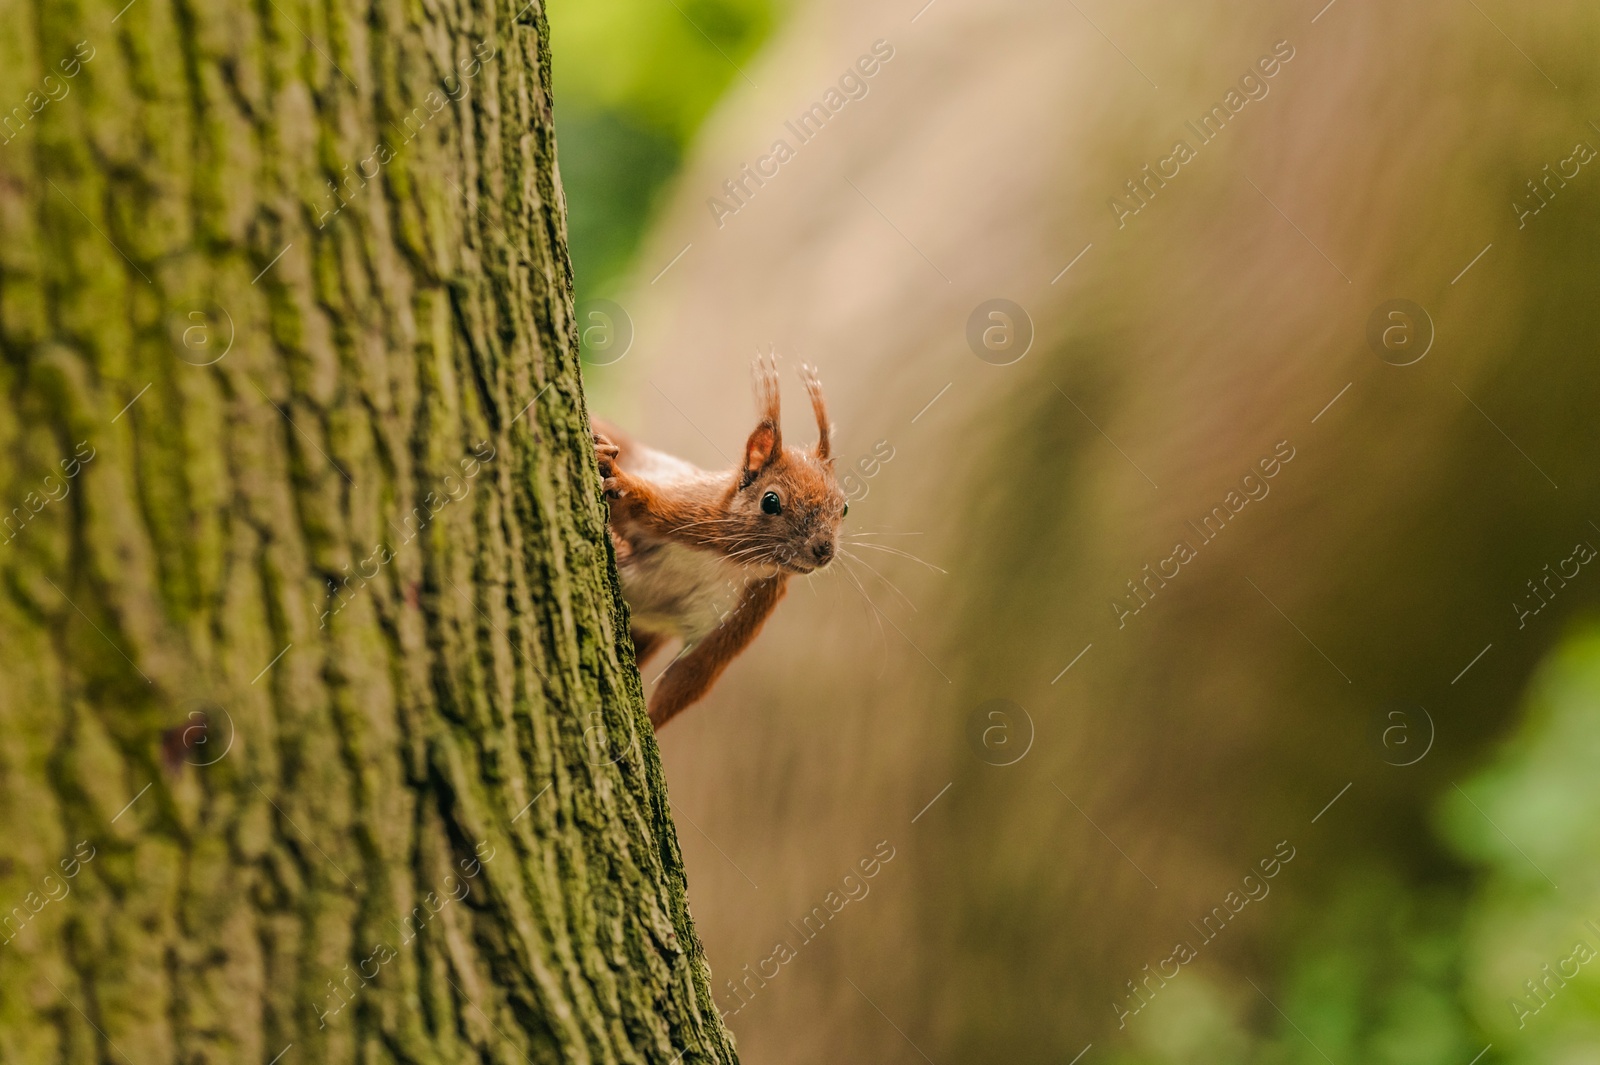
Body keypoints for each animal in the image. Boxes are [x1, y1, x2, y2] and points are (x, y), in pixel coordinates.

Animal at [595, 351, 851, 725]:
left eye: (844, 507)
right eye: (770, 501)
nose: (823, 551)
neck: (736, 563)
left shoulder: (745, 612)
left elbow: (691, 677)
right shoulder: (688, 513)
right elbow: (635, 508)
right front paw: (613, 473)